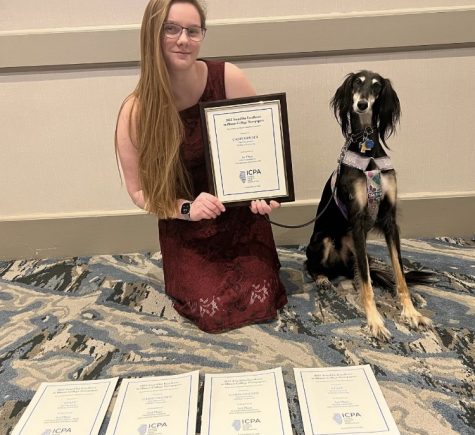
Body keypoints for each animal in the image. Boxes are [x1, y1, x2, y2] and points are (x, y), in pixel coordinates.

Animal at [306, 70, 434, 340]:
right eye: (357, 82)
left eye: (376, 86)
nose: (362, 104)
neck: (368, 148)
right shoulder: (357, 219)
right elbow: (367, 284)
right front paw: (375, 321)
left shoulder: (389, 220)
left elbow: (399, 274)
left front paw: (411, 313)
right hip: (322, 239)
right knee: (312, 264)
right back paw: (322, 278)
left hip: (353, 245)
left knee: (358, 268)